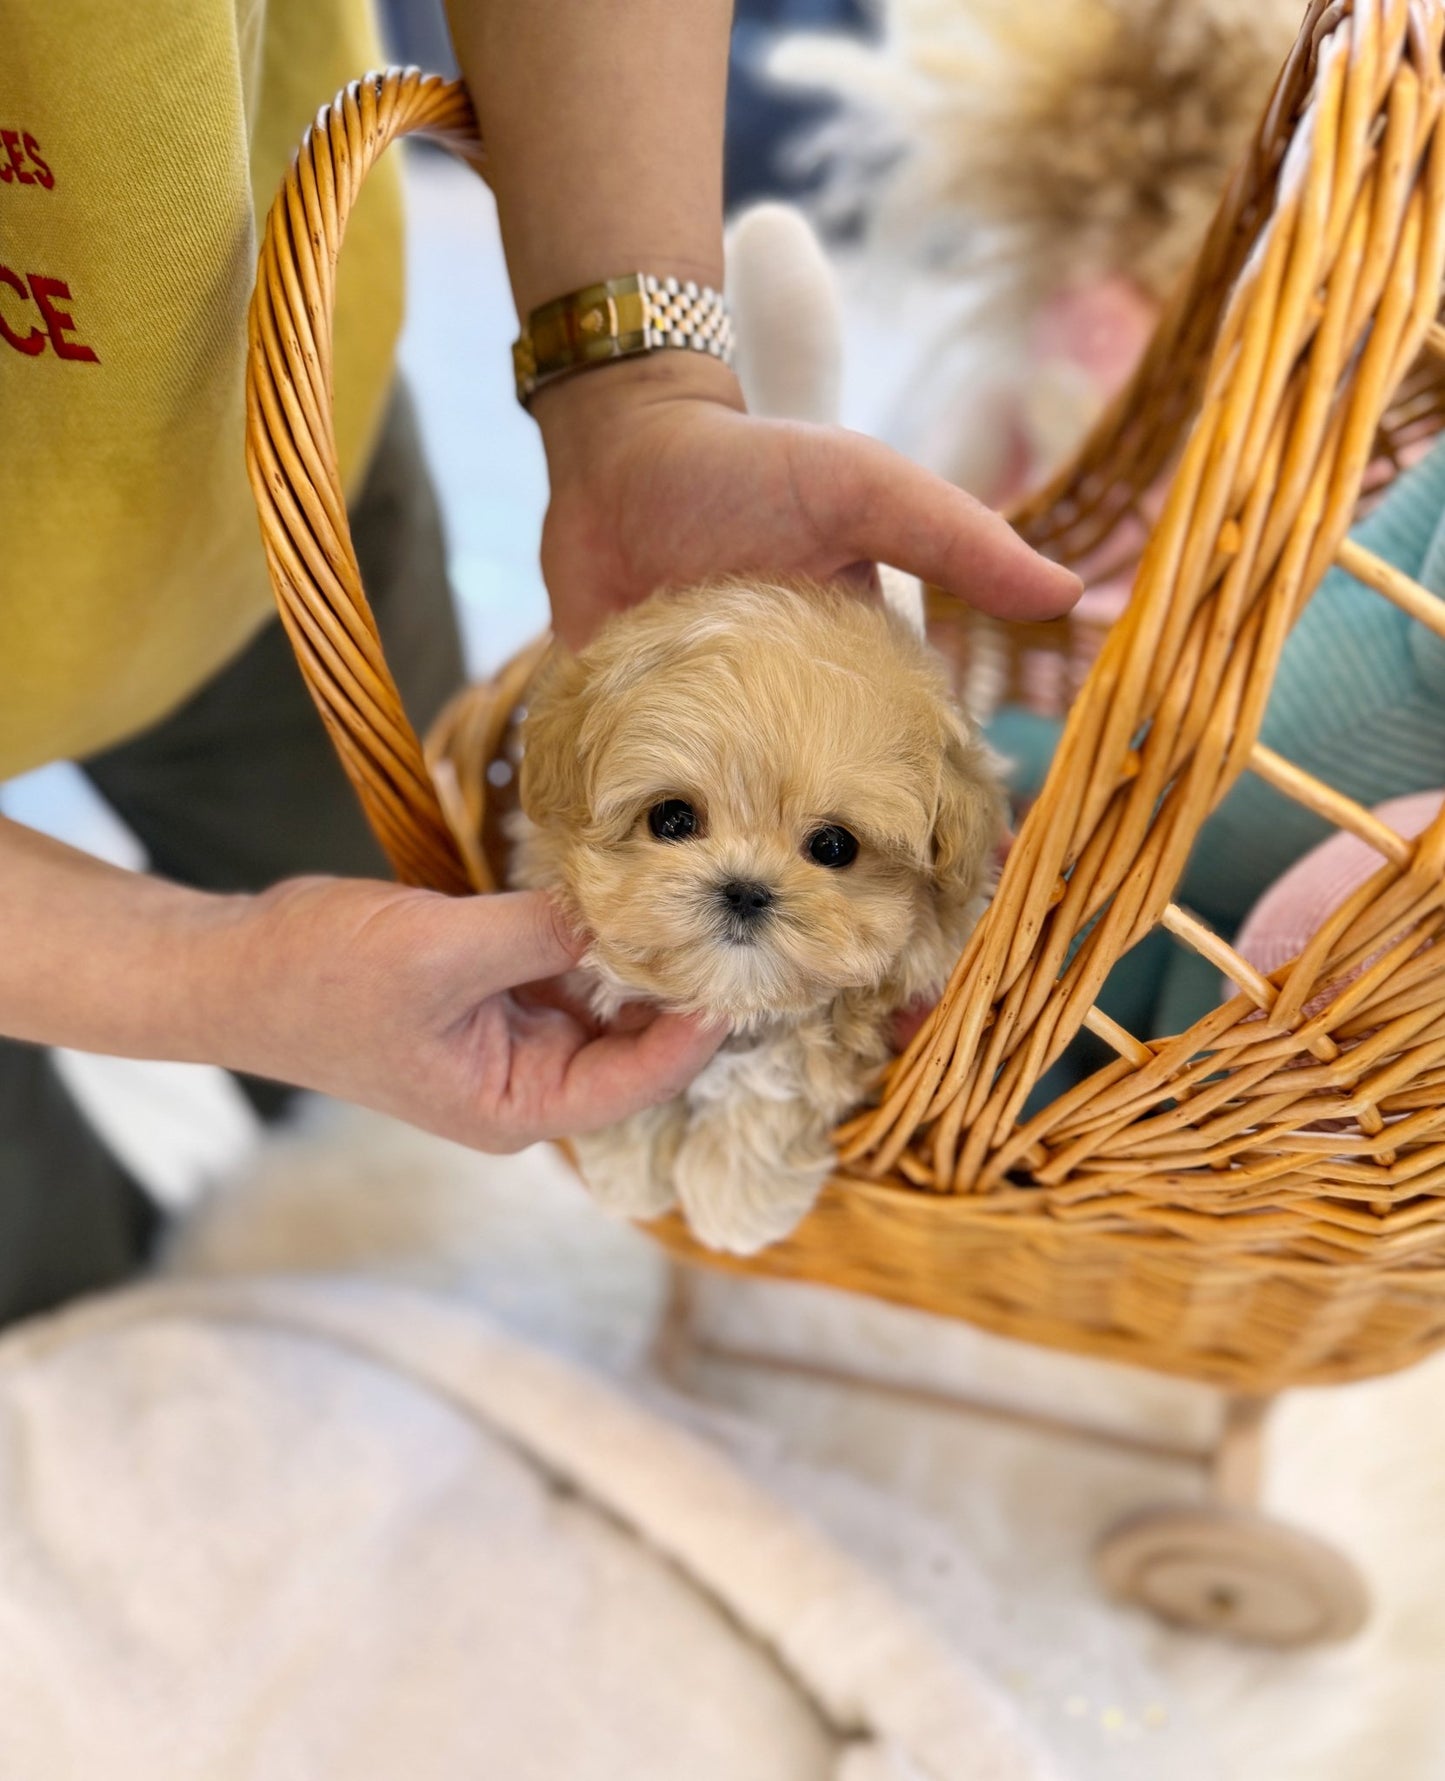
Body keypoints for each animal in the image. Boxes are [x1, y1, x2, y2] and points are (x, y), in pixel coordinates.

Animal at [513, 584, 1004, 1253]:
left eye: (834, 846)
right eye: (671, 819)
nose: (744, 891)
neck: (737, 996)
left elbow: (779, 1074)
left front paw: (733, 1199)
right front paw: (629, 1170)